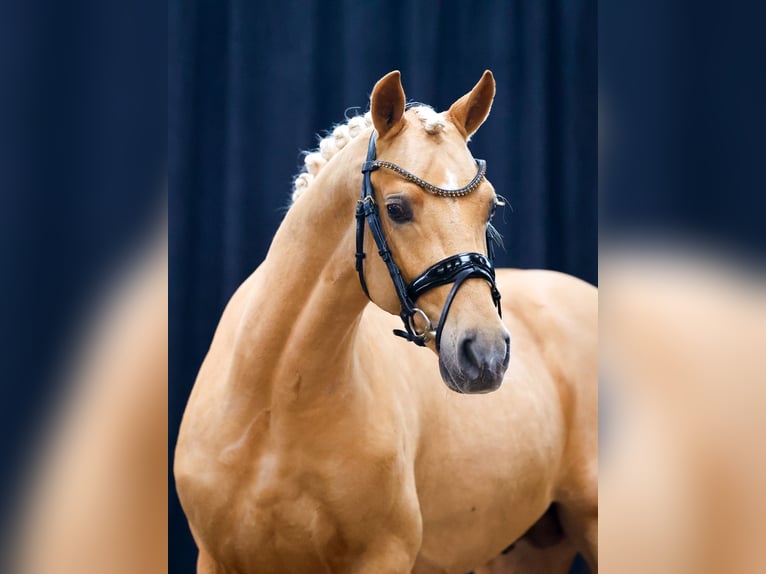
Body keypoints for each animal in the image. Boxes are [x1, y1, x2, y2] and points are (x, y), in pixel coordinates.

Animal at [176, 72, 600, 574]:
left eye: (489, 208)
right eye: (397, 208)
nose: (486, 355)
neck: (274, 408)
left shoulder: (383, 557)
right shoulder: (214, 559)